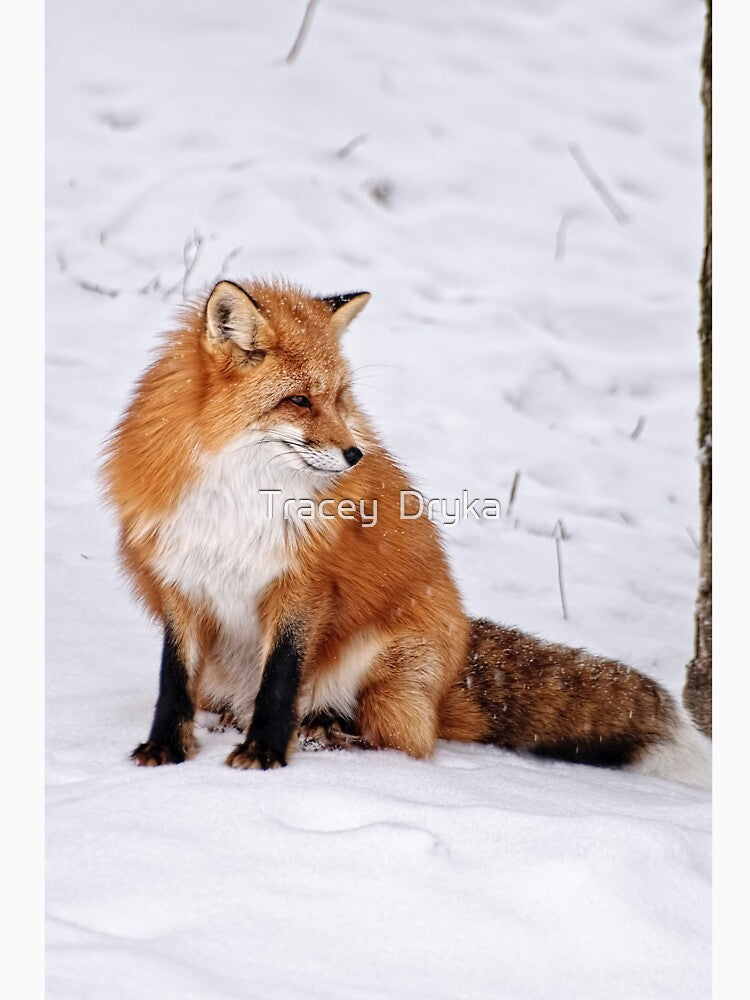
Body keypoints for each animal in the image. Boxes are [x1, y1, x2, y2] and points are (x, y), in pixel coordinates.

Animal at [102, 278, 710, 787]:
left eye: (340, 397)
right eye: (298, 400)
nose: (355, 455)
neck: (240, 492)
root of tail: (458, 663)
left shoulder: (302, 583)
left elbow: (279, 679)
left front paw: (266, 754)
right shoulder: (181, 576)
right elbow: (173, 680)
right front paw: (165, 749)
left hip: (386, 675)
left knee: (403, 744)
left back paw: (325, 735)